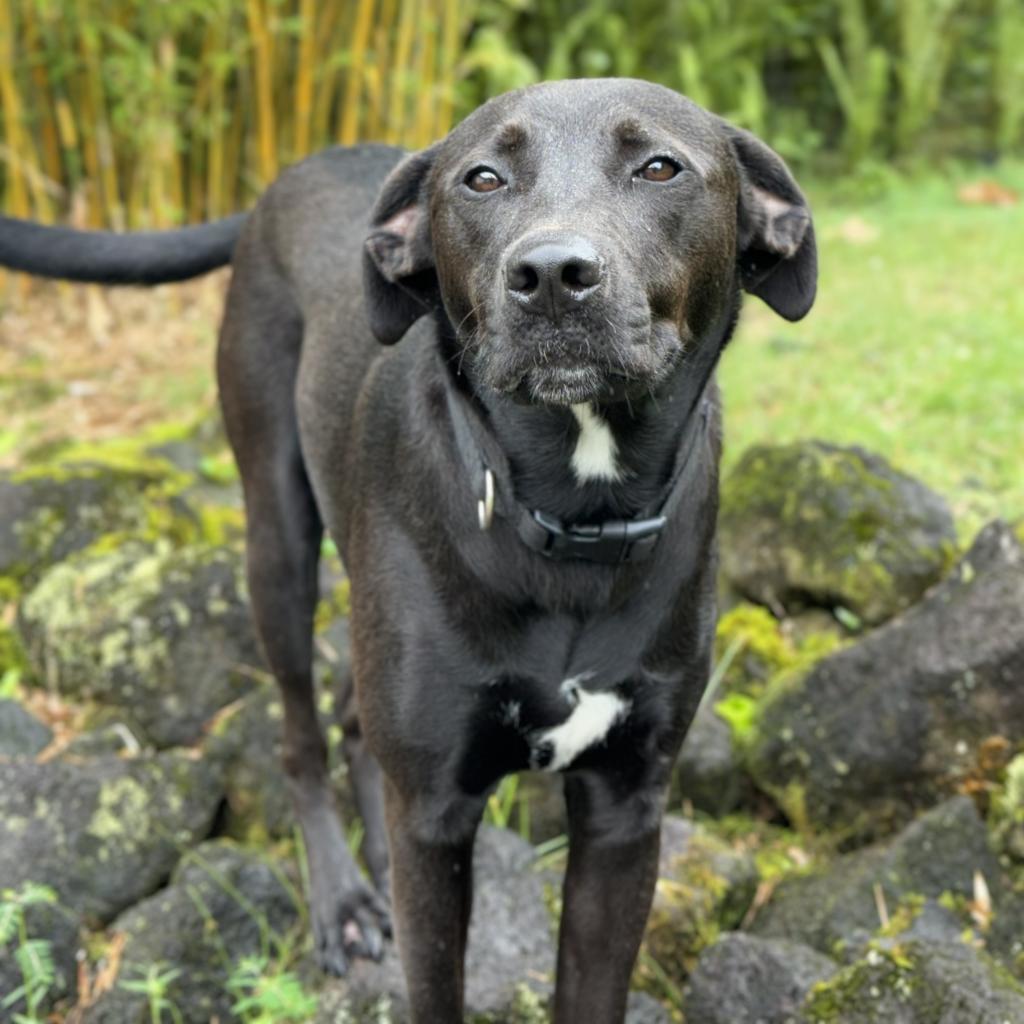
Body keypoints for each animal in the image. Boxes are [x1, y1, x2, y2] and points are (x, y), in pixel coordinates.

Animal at [0, 77, 815, 1015]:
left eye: (659, 167)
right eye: (483, 178)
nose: (550, 277)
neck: (571, 513)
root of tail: (303, 167)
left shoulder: (624, 811)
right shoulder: (432, 806)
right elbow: (433, 987)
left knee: (359, 730)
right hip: (276, 542)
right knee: (301, 736)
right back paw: (344, 900)